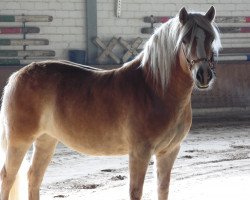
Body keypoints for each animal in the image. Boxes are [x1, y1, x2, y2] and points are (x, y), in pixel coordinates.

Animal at [0, 5, 221, 200]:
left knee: (33, 177)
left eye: (210, 37)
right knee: (8, 177)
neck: (155, 89)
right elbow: (135, 191)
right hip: (20, 141)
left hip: (46, 140)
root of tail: (17, 76)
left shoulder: (169, 152)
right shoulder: (140, 152)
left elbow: (163, 189)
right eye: (184, 39)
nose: (203, 75)